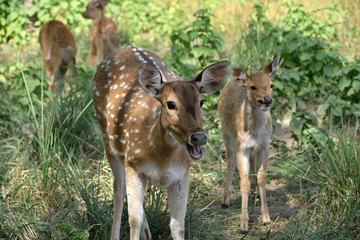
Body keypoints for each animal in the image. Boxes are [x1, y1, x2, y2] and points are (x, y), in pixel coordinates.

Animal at [92, 45, 228, 240]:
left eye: (201, 101)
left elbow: (178, 225)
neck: (161, 159)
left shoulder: (182, 173)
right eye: (170, 104)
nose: (199, 137)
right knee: (118, 190)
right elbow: (134, 219)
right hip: (109, 142)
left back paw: (148, 234)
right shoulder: (132, 164)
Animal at [218, 56, 280, 234]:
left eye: (271, 85)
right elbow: (243, 183)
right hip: (227, 133)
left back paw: (254, 192)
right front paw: (244, 225)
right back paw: (225, 201)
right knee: (230, 161)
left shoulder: (265, 145)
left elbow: (262, 179)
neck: (255, 132)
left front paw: (266, 219)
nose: (267, 100)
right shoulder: (242, 146)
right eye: (252, 87)